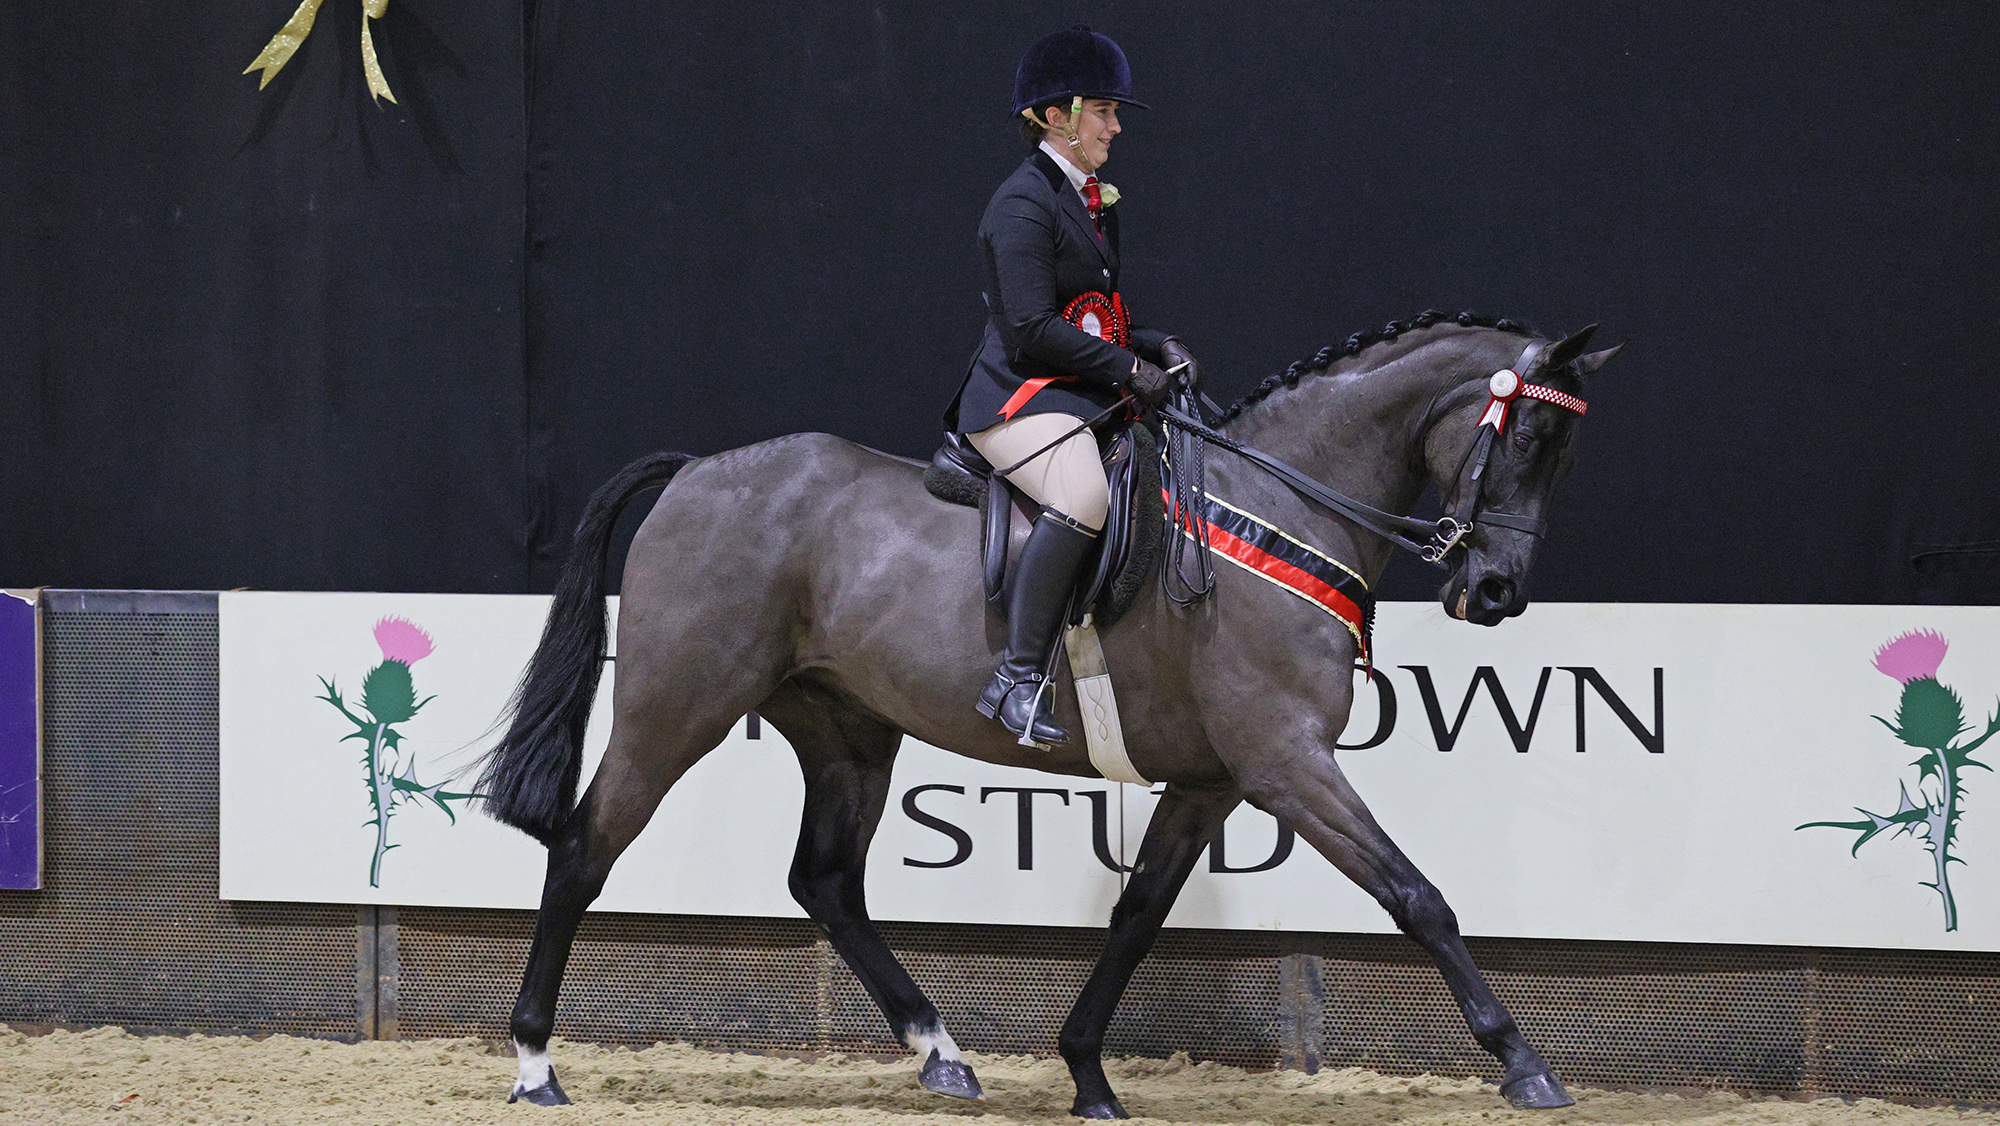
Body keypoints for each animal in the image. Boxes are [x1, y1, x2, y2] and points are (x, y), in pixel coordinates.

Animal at [476, 311, 1621, 1116]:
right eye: (1523, 438)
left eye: (1564, 452)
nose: (1495, 592)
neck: (1279, 509)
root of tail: (697, 473)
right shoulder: (1286, 759)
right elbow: (1416, 895)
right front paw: (1523, 1063)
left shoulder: (1210, 782)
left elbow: (1137, 915)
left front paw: (1087, 1075)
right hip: (678, 706)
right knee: (585, 847)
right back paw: (534, 1062)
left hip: (847, 731)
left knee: (826, 882)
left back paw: (940, 1052)